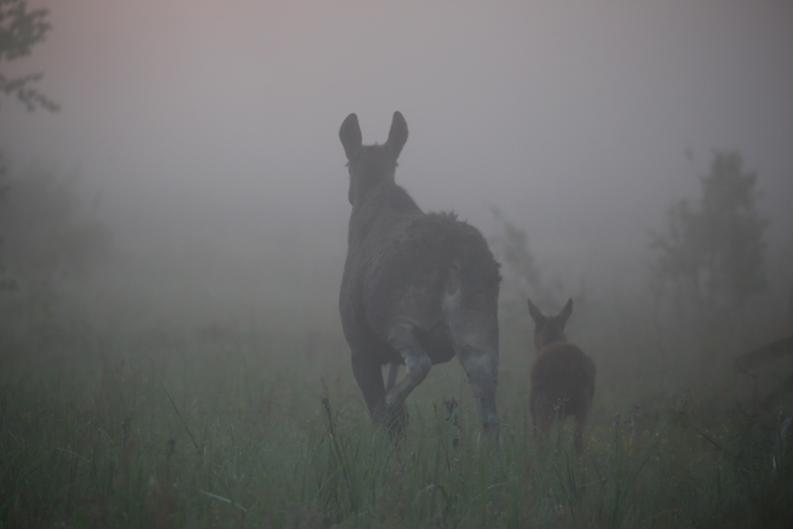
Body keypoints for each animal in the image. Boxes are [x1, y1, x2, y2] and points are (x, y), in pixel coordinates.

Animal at [336, 110, 498, 434]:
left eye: (347, 164)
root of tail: (457, 256)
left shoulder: (360, 349)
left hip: (400, 318)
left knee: (419, 364)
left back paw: (389, 405)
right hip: (480, 333)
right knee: (490, 410)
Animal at [524, 296, 592, 450]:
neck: (550, 340)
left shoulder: (533, 408)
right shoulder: (564, 414)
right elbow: (559, 439)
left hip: (544, 404)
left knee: (542, 441)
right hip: (582, 407)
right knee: (578, 442)